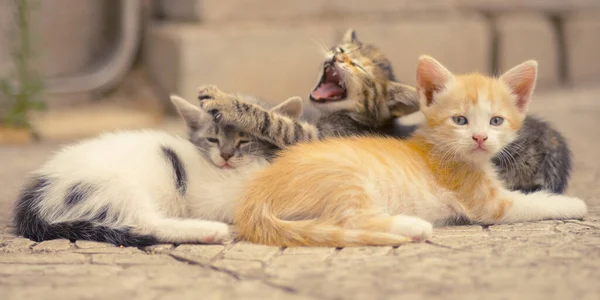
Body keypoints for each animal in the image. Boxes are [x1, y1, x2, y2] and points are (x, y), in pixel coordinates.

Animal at [233, 55, 584, 246]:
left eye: (496, 121)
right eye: (460, 120)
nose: (480, 138)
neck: (442, 147)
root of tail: (254, 197)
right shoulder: (489, 205)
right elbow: (529, 202)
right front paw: (574, 204)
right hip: (348, 179)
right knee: (348, 220)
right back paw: (413, 226)